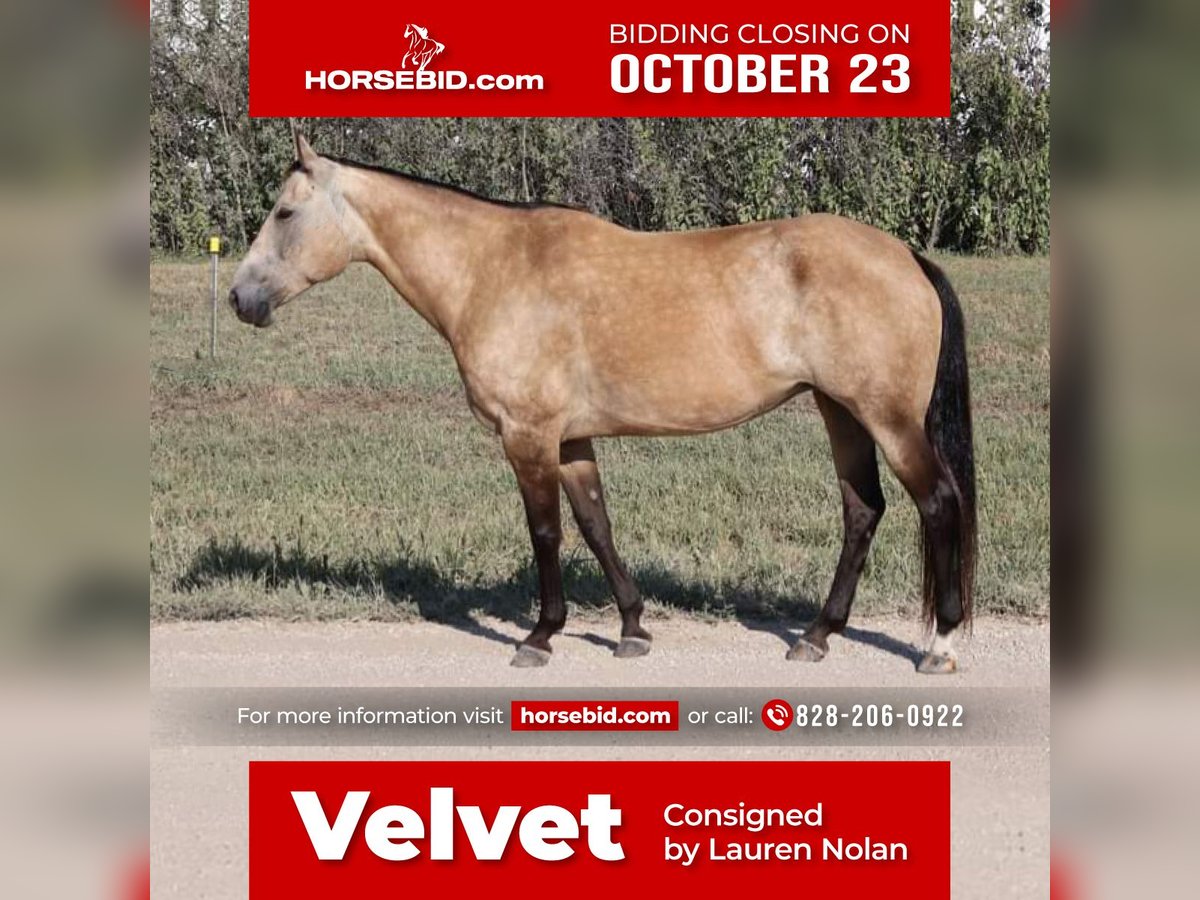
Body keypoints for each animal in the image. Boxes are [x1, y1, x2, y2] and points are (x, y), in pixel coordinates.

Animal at [228, 133, 977, 673]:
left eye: (284, 213)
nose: (240, 298)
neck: (493, 270)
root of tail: (907, 257)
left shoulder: (527, 436)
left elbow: (546, 533)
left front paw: (540, 636)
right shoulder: (570, 439)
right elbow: (596, 525)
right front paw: (632, 628)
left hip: (887, 419)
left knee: (938, 503)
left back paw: (940, 645)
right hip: (839, 410)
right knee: (863, 511)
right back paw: (817, 635)